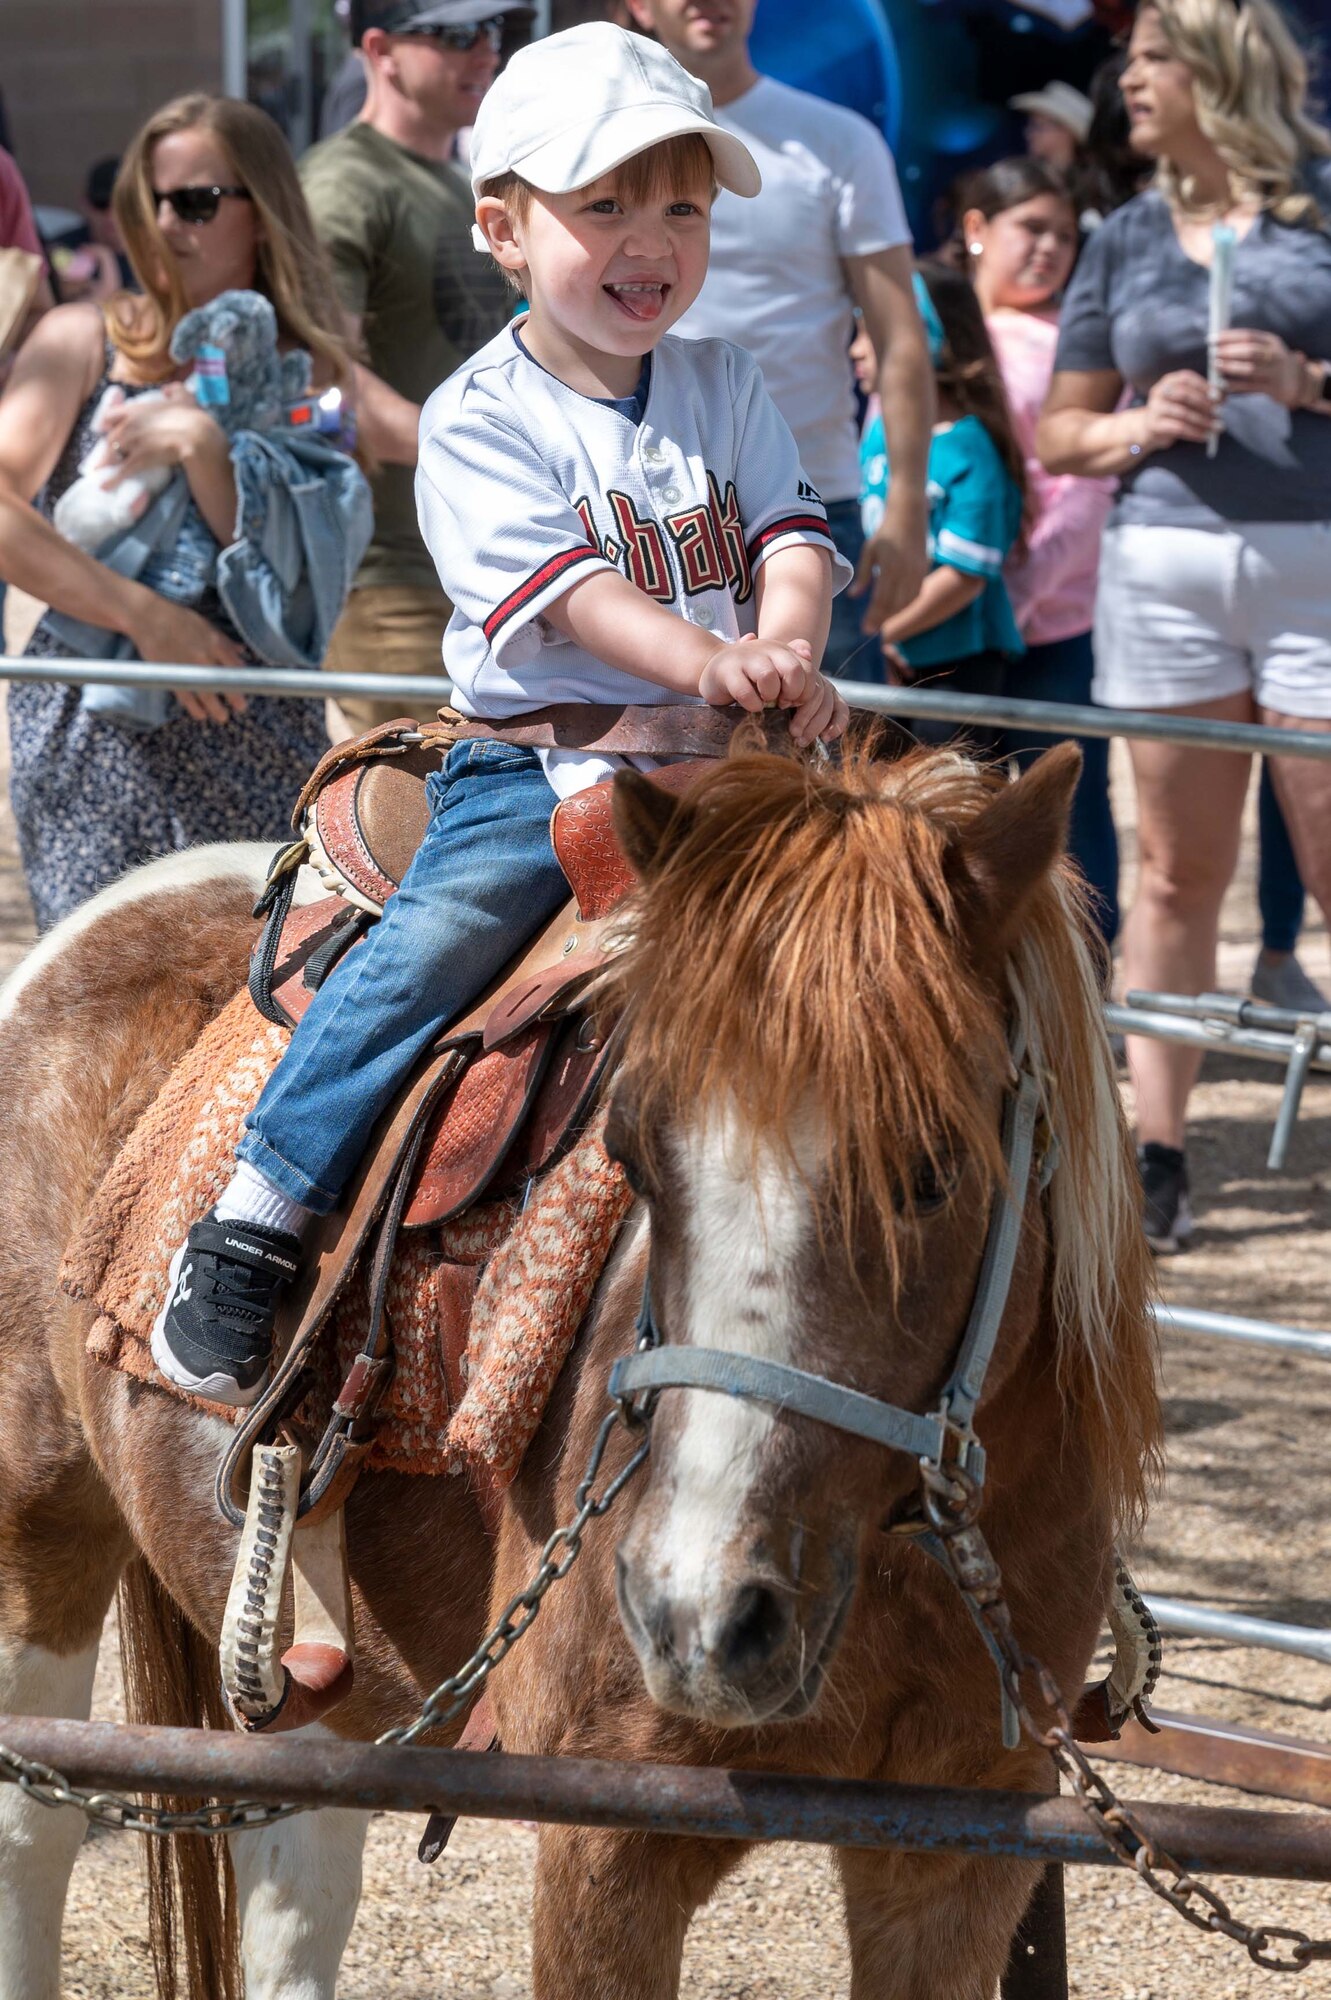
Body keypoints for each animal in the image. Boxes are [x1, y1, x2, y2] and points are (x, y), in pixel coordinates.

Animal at [0, 748, 1159, 2000]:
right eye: (634, 1151)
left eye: (932, 1170)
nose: (698, 1613)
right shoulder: (607, 1846)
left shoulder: (957, 1852)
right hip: (40, 1537)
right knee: (35, 1828)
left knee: (290, 1877)